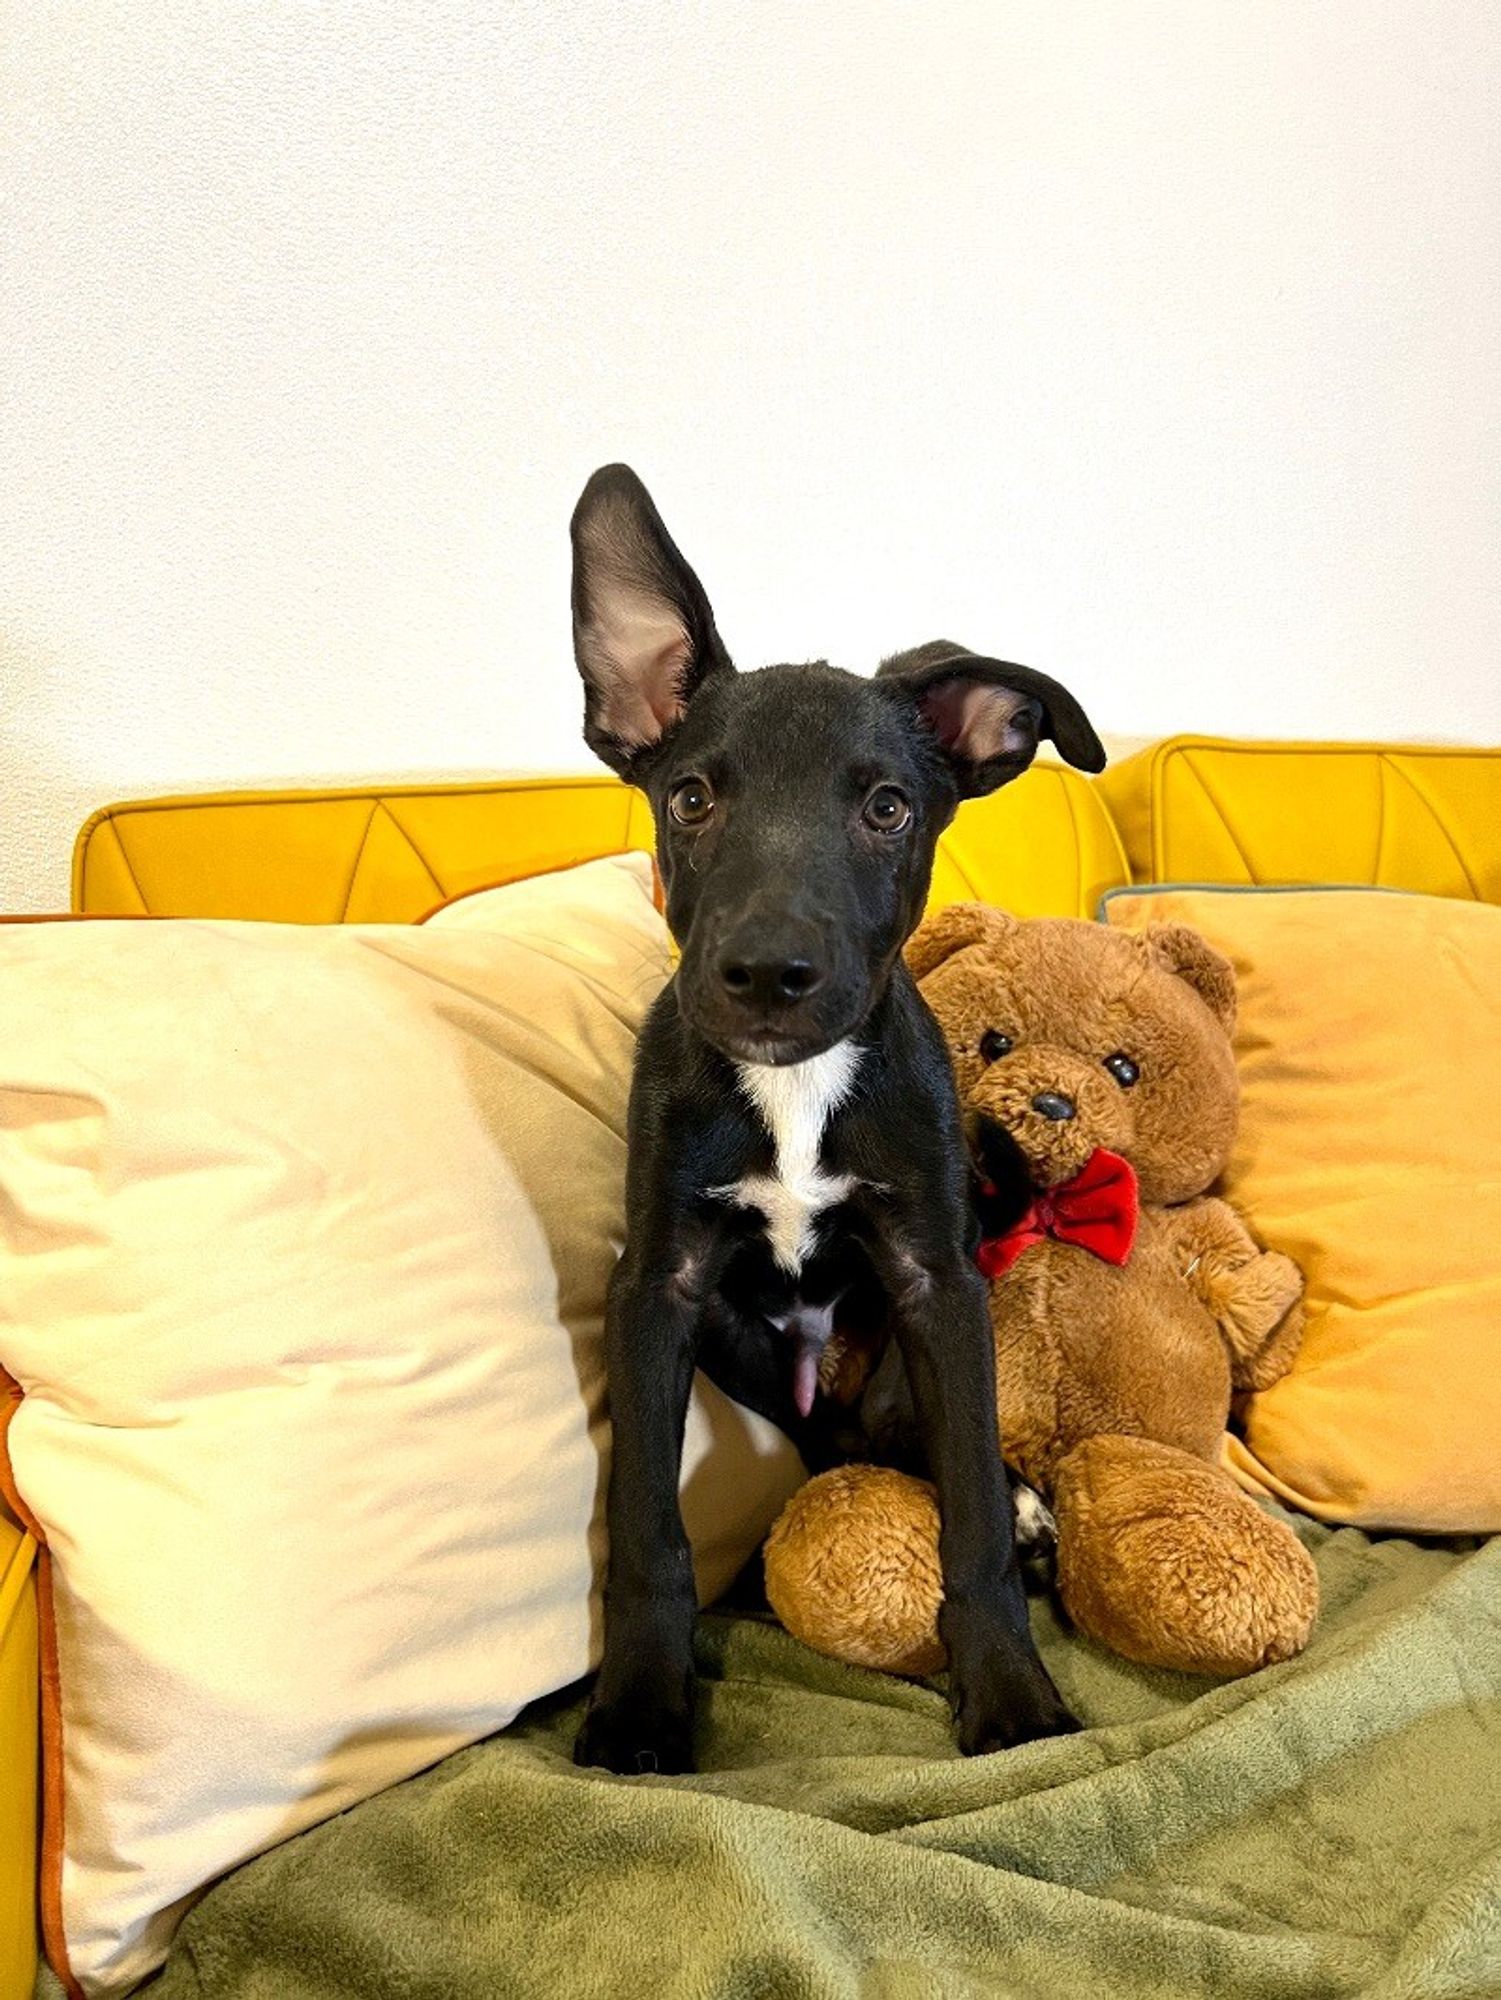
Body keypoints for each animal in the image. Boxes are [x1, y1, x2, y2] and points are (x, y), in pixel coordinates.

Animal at [568, 464, 1112, 1768]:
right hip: (742, 1345)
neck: (794, 1089)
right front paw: (638, 1704)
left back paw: (1027, 1501)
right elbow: (646, 1527)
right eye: (690, 797)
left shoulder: (936, 1279)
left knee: (916, 1443)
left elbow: (969, 1520)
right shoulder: (655, 1287)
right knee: (838, 1441)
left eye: (887, 808)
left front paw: (1009, 1693)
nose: (767, 975)